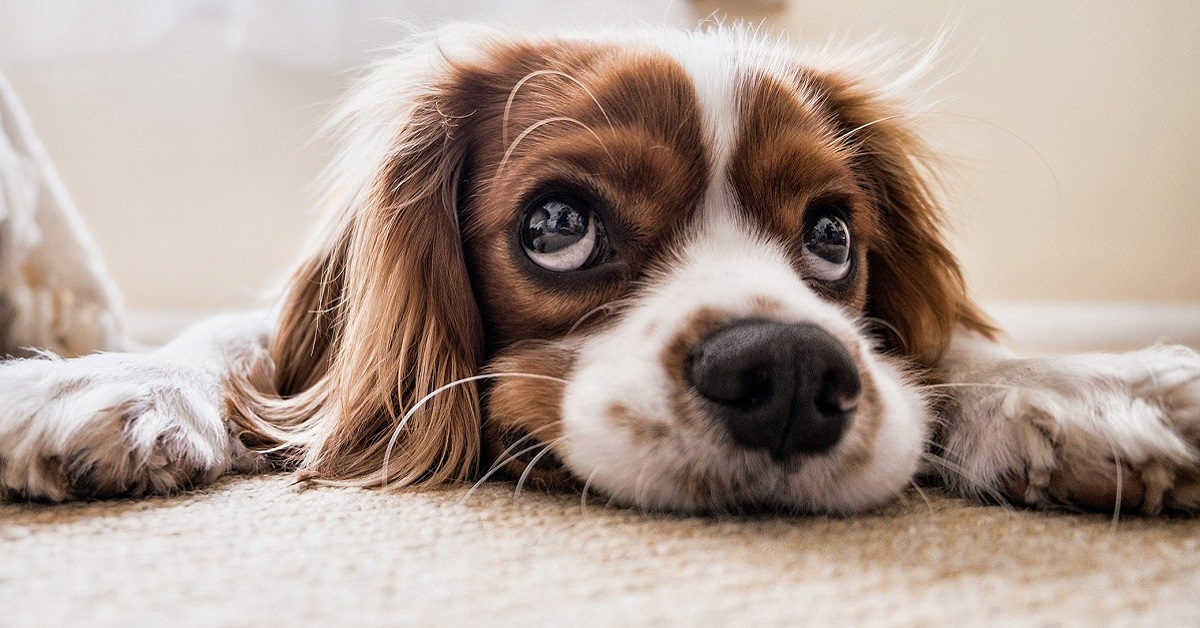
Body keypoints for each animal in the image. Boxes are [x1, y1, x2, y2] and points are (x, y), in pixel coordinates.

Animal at [2, 25, 1200, 516]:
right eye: (558, 224)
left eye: (832, 237)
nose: (789, 373)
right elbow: (239, 344)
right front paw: (104, 382)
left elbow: (950, 349)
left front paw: (1083, 389)